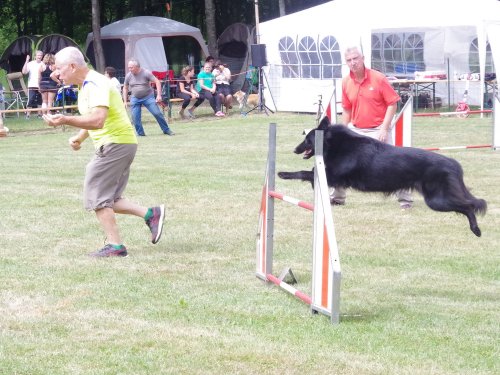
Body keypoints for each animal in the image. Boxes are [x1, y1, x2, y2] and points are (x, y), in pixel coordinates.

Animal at [276, 117, 486, 236]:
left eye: (306, 139)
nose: (294, 149)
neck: (335, 143)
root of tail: (453, 164)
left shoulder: (331, 176)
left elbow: (304, 172)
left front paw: (283, 173)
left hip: (436, 201)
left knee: (469, 206)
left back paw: (476, 230)